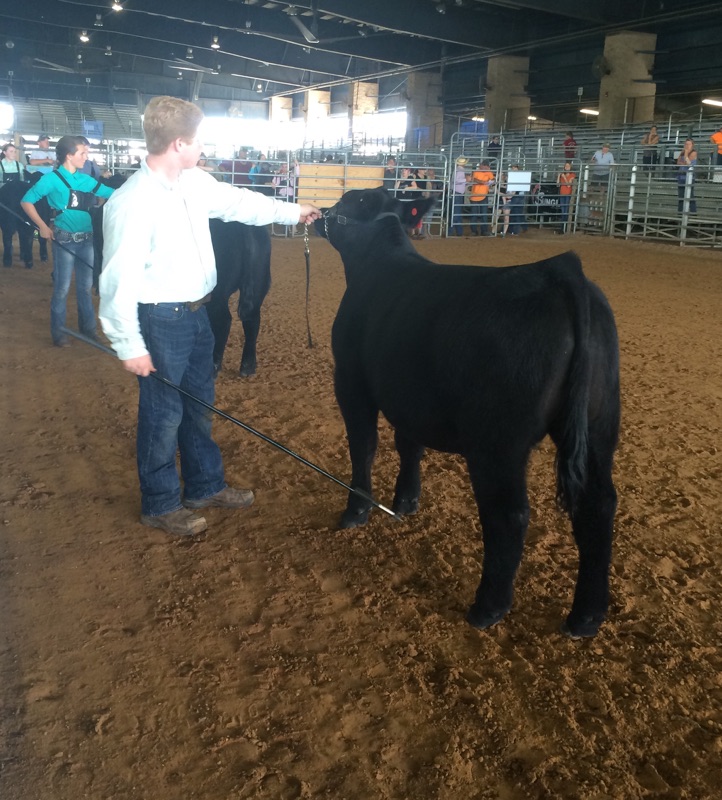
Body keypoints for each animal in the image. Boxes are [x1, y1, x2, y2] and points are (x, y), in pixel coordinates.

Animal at [315, 187, 620, 639]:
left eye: (351, 198)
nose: (320, 214)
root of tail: (557, 270)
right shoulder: (410, 394)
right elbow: (409, 445)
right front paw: (405, 501)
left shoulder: (351, 380)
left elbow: (363, 446)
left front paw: (356, 510)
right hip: (600, 425)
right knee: (598, 505)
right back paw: (585, 616)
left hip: (497, 442)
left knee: (509, 514)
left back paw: (487, 608)